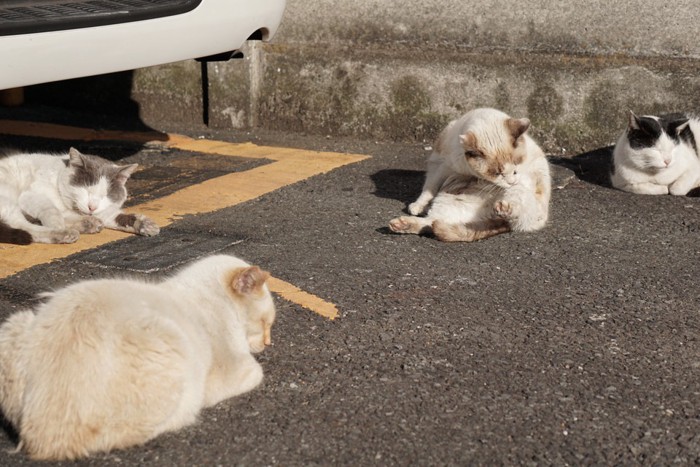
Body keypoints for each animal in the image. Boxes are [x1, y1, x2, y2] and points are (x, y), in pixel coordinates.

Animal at [0, 148, 160, 245]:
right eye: (86, 190)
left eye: (105, 195)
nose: (92, 207)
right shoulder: (28, 195)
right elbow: (52, 210)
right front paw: (57, 224)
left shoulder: (102, 210)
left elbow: (118, 217)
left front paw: (145, 225)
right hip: (8, 199)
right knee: (24, 226)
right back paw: (64, 232)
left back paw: (88, 224)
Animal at [0, 256, 276, 460]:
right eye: (265, 324)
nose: (268, 343)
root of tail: (43, 438)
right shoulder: (236, 367)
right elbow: (257, 371)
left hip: (14, 324)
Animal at [392, 108, 548, 243]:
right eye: (497, 174)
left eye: (516, 166)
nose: (512, 182)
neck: (468, 171)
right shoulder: (441, 167)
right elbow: (428, 190)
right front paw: (418, 205)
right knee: (432, 222)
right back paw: (401, 225)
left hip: (520, 194)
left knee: (515, 214)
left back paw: (504, 209)